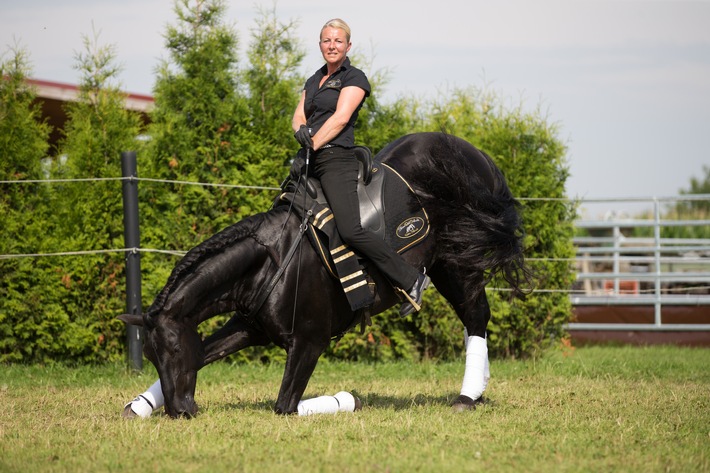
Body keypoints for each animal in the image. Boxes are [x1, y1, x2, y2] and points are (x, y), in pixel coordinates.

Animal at [118, 131, 528, 414]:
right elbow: (204, 353)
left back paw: (467, 396)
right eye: (151, 356)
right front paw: (140, 406)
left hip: (459, 262)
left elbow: (285, 405)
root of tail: (474, 153)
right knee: (474, 320)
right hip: (446, 266)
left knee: (476, 316)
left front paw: (345, 399)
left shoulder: (309, 342)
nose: (180, 411)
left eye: (173, 349)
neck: (273, 262)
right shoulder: (249, 328)